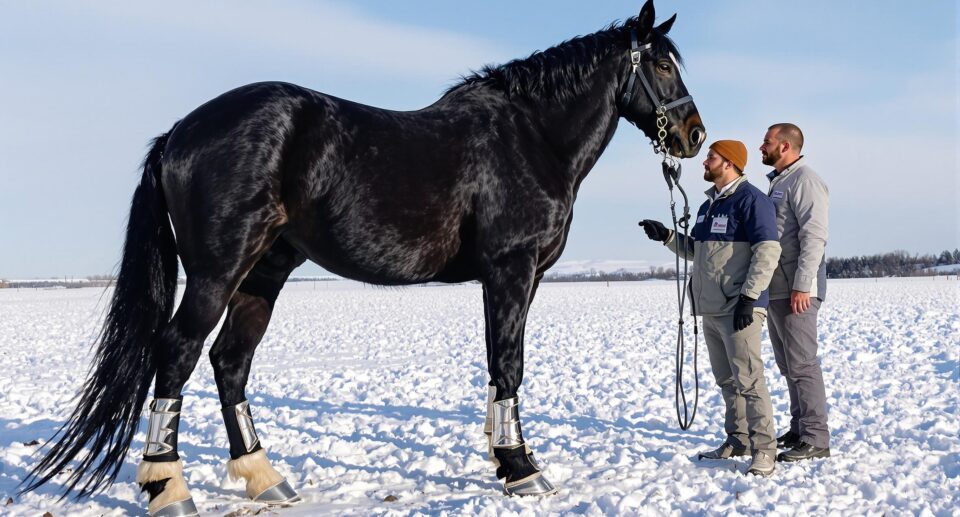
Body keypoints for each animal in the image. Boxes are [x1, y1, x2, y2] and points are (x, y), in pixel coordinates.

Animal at [22, 2, 704, 512]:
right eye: (661, 64)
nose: (694, 135)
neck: (530, 136)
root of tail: (179, 134)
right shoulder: (511, 269)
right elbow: (508, 363)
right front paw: (521, 467)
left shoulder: (523, 277)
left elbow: (499, 364)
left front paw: (503, 455)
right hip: (218, 271)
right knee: (178, 352)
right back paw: (168, 488)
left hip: (264, 273)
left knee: (229, 360)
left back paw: (265, 478)